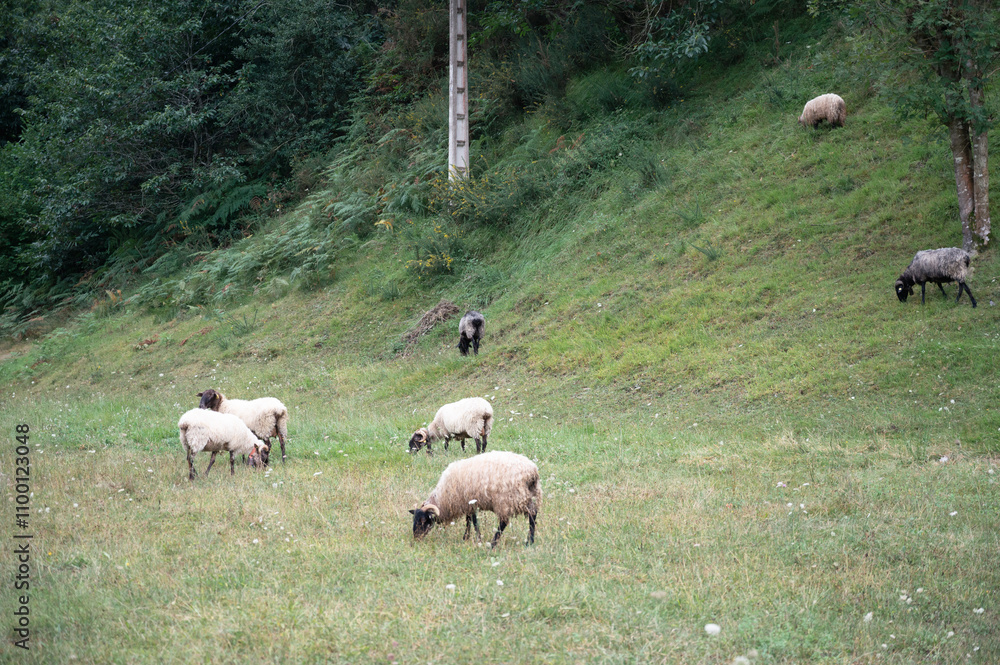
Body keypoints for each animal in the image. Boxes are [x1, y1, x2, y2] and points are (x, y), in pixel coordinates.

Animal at [409, 451, 541, 548]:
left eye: (422, 521)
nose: (416, 538)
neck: (443, 497)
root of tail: (532, 472)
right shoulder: (468, 503)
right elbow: (469, 520)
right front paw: (466, 538)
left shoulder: (469, 501)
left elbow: (473, 521)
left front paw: (477, 539)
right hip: (527, 496)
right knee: (533, 514)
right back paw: (530, 542)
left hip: (507, 500)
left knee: (504, 522)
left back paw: (493, 543)